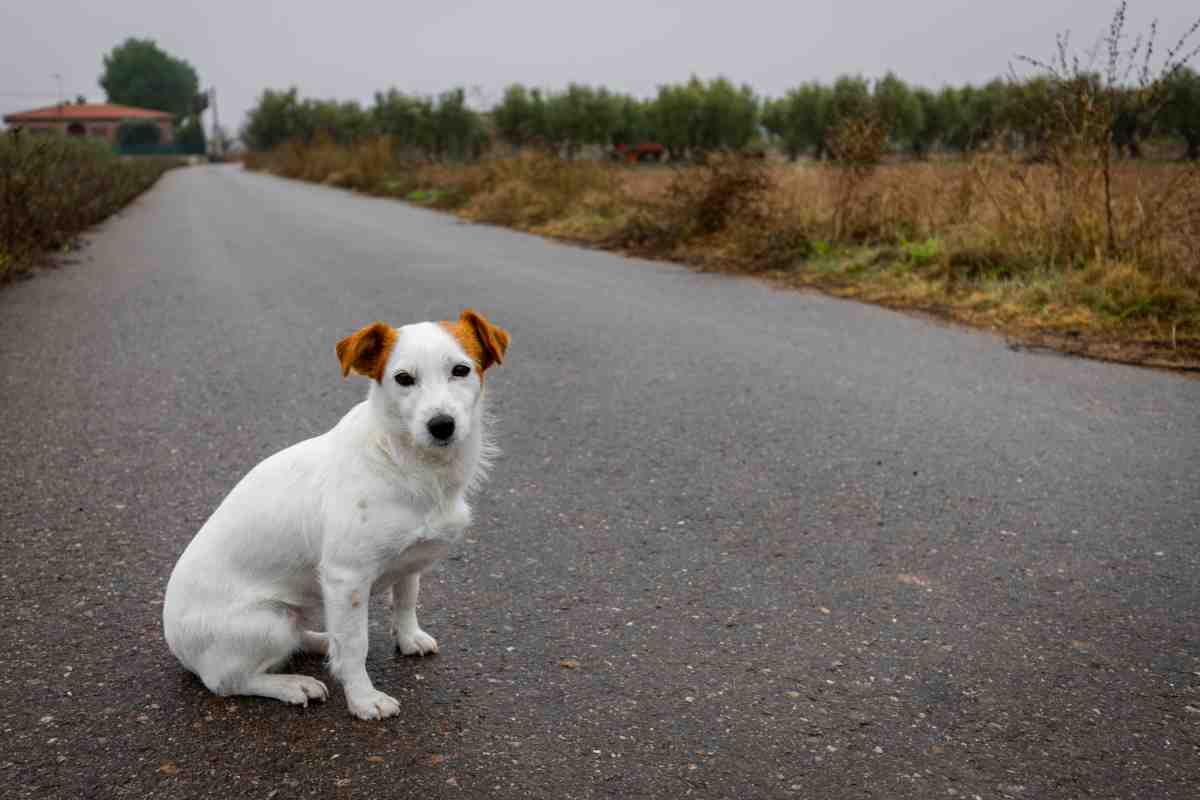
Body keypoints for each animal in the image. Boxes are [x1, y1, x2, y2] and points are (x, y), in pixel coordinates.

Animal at [162, 309, 508, 719]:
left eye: (461, 370)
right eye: (403, 379)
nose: (441, 425)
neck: (409, 464)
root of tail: (175, 642)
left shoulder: (410, 561)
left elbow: (406, 600)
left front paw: (408, 638)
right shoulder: (347, 579)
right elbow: (356, 645)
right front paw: (363, 700)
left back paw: (322, 643)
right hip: (270, 621)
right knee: (227, 681)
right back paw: (292, 684)